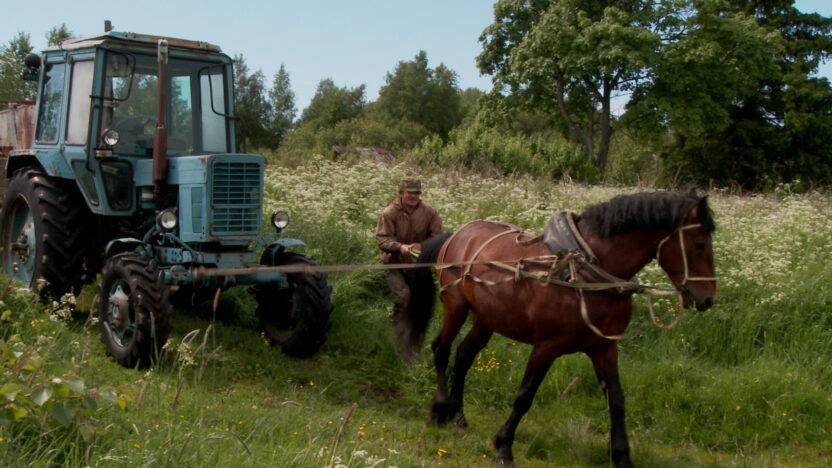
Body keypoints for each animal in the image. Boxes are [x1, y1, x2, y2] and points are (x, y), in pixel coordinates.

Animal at [413, 191, 716, 467]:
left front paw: (621, 456)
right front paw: (504, 447)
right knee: (442, 349)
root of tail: (460, 233)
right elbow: (524, 396)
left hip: (486, 318)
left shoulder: (604, 348)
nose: (708, 299)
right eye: (700, 243)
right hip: (456, 305)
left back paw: (459, 416)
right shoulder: (547, 346)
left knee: (464, 356)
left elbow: (617, 401)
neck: (583, 273)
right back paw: (439, 409)